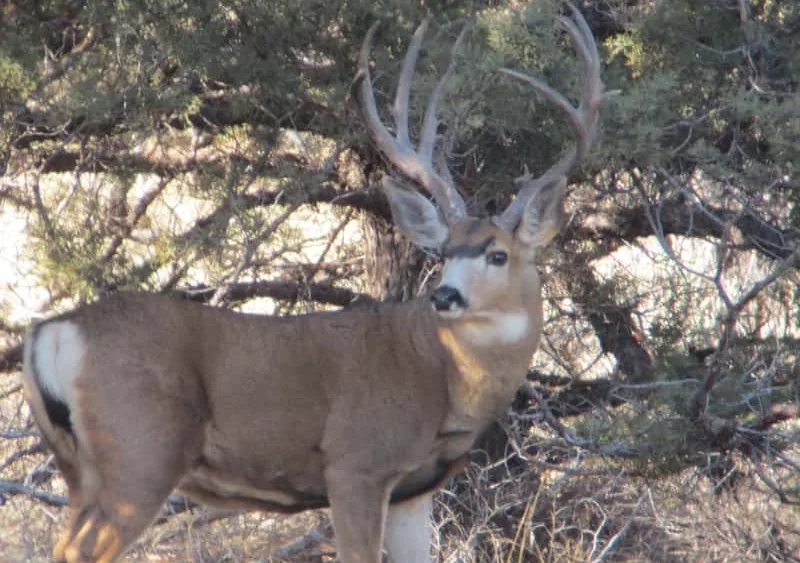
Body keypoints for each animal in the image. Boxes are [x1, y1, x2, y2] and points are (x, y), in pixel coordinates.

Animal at [21, 4, 610, 562]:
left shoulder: (414, 490)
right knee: (79, 549)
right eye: (443, 253)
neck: (441, 375)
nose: (444, 295)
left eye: (496, 254)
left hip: (80, 468)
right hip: (141, 449)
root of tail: (52, 331)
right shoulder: (355, 462)